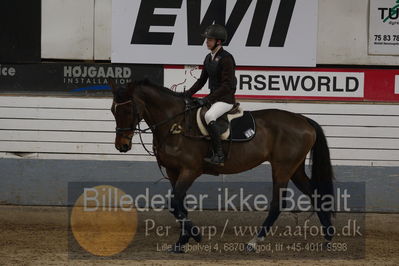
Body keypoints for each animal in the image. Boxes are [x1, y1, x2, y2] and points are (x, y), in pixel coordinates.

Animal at [109, 79, 334, 254]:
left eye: (128, 109)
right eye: (113, 110)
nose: (122, 145)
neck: (176, 125)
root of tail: (303, 119)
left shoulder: (190, 170)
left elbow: (175, 204)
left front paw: (196, 236)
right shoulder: (174, 172)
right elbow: (180, 205)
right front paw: (181, 242)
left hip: (282, 168)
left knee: (278, 203)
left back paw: (253, 243)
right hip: (295, 168)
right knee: (314, 194)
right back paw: (328, 238)